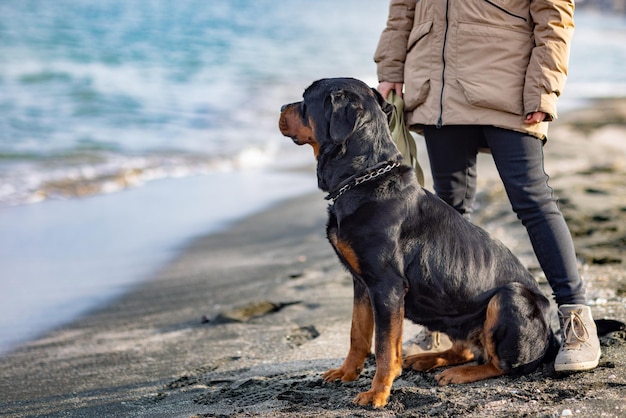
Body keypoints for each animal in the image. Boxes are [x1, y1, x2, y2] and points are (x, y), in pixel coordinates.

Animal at [278, 78, 556, 408]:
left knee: (500, 363)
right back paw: (429, 359)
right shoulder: (363, 283)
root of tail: (551, 335)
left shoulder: (387, 286)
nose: (281, 107)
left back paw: (459, 374)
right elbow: (358, 332)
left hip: (510, 298)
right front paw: (347, 372)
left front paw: (377, 393)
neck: (363, 178)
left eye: (305, 100)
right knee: (465, 349)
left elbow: (385, 348)